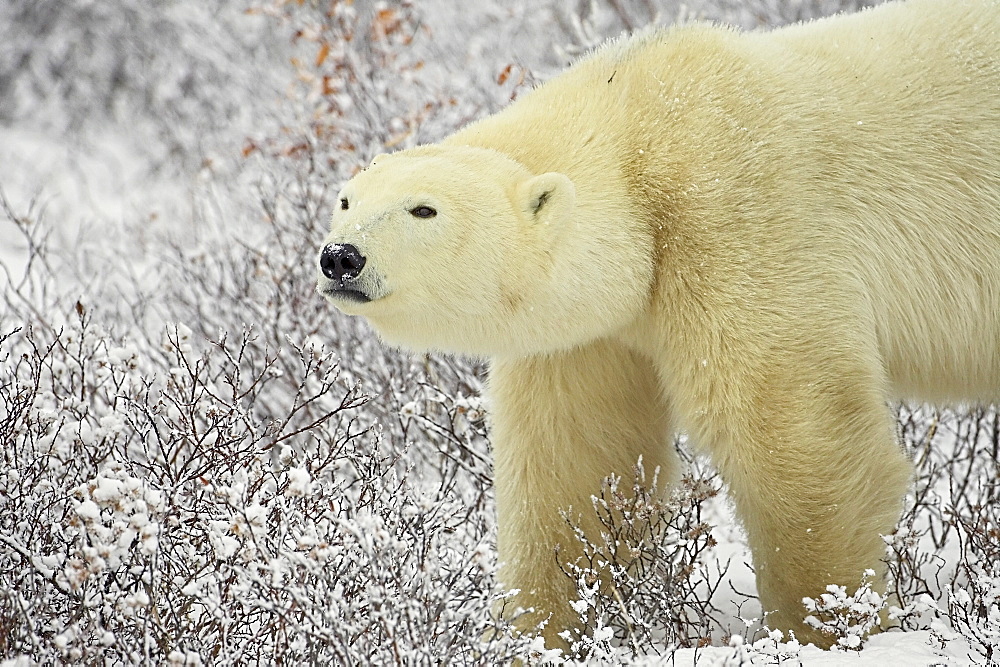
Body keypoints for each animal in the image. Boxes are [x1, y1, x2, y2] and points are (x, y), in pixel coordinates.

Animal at [318, 0, 1000, 648]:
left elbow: (794, 428)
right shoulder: (594, 330)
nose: (340, 257)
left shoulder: (736, 217)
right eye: (346, 199)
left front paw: (826, 623)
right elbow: (576, 463)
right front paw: (544, 630)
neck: (640, 126)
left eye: (423, 209)